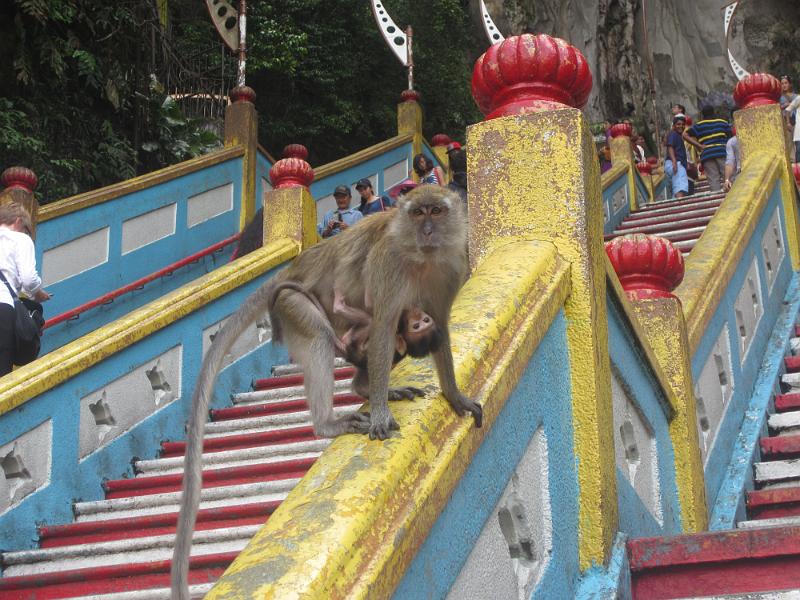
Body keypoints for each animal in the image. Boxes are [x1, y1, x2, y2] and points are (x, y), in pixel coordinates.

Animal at [171, 185, 482, 596]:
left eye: (436, 211)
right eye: (418, 213)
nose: (428, 230)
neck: (421, 260)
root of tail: (296, 267)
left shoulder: (449, 269)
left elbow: (441, 327)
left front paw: (455, 396)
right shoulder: (389, 268)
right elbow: (384, 326)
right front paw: (380, 412)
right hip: (292, 303)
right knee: (322, 333)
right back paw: (328, 422)